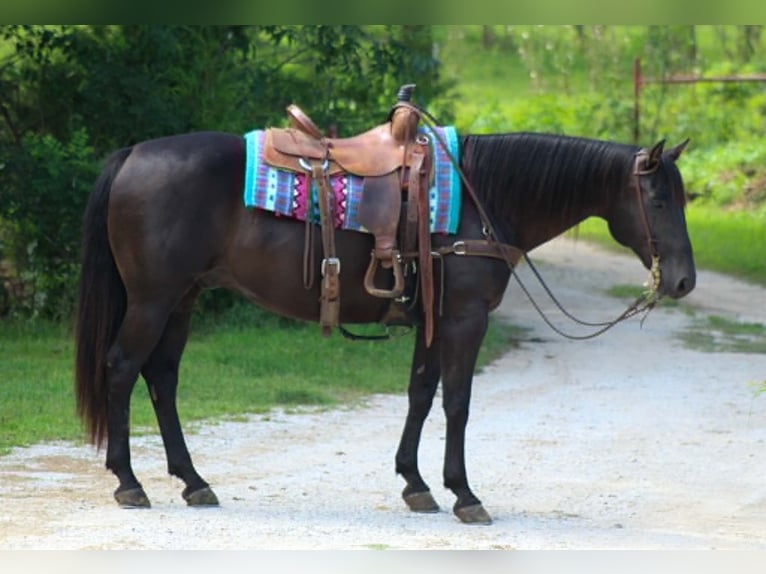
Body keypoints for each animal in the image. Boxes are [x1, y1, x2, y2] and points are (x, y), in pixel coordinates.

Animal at [74, 126, 696, 525]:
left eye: (683, 197)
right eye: (659, 200)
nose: (685, 280)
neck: (483, 198)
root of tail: (133, 154)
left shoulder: (432, 320)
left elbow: (420, 394)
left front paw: (415, 484)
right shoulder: (465, 319)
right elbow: (457, 403)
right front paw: (464, 494)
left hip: (182, 299)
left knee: (162, 378)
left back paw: (193, 481)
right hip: (154, 299)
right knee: (122, 370)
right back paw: (128, 482)